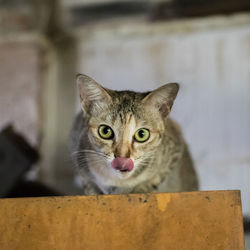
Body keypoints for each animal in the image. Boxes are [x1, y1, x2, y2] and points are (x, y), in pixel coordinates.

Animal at [69, 73, 198, 194]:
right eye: (105, 131)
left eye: (142, 134)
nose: (122, 158)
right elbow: (88, 184)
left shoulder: (175, 147)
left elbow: (155, 179)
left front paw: (141, 190)